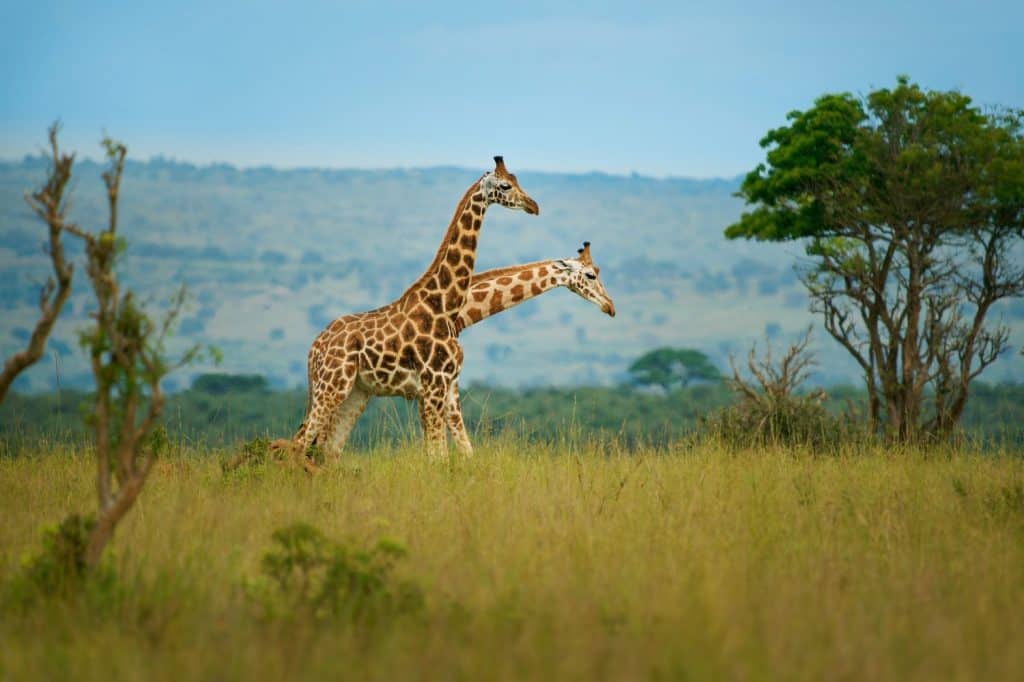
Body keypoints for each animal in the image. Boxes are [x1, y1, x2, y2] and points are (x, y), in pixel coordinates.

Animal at [295, 156, 539, 461]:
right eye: (505, 186)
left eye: (517, 179)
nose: (533, 206)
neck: (445, 304)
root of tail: (315, 348)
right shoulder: (434, 385)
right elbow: (438, 454)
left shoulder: (446, 387)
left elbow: (453, 452)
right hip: (332, 386)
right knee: (300, 441)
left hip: (354, 391)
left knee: (326, 448)